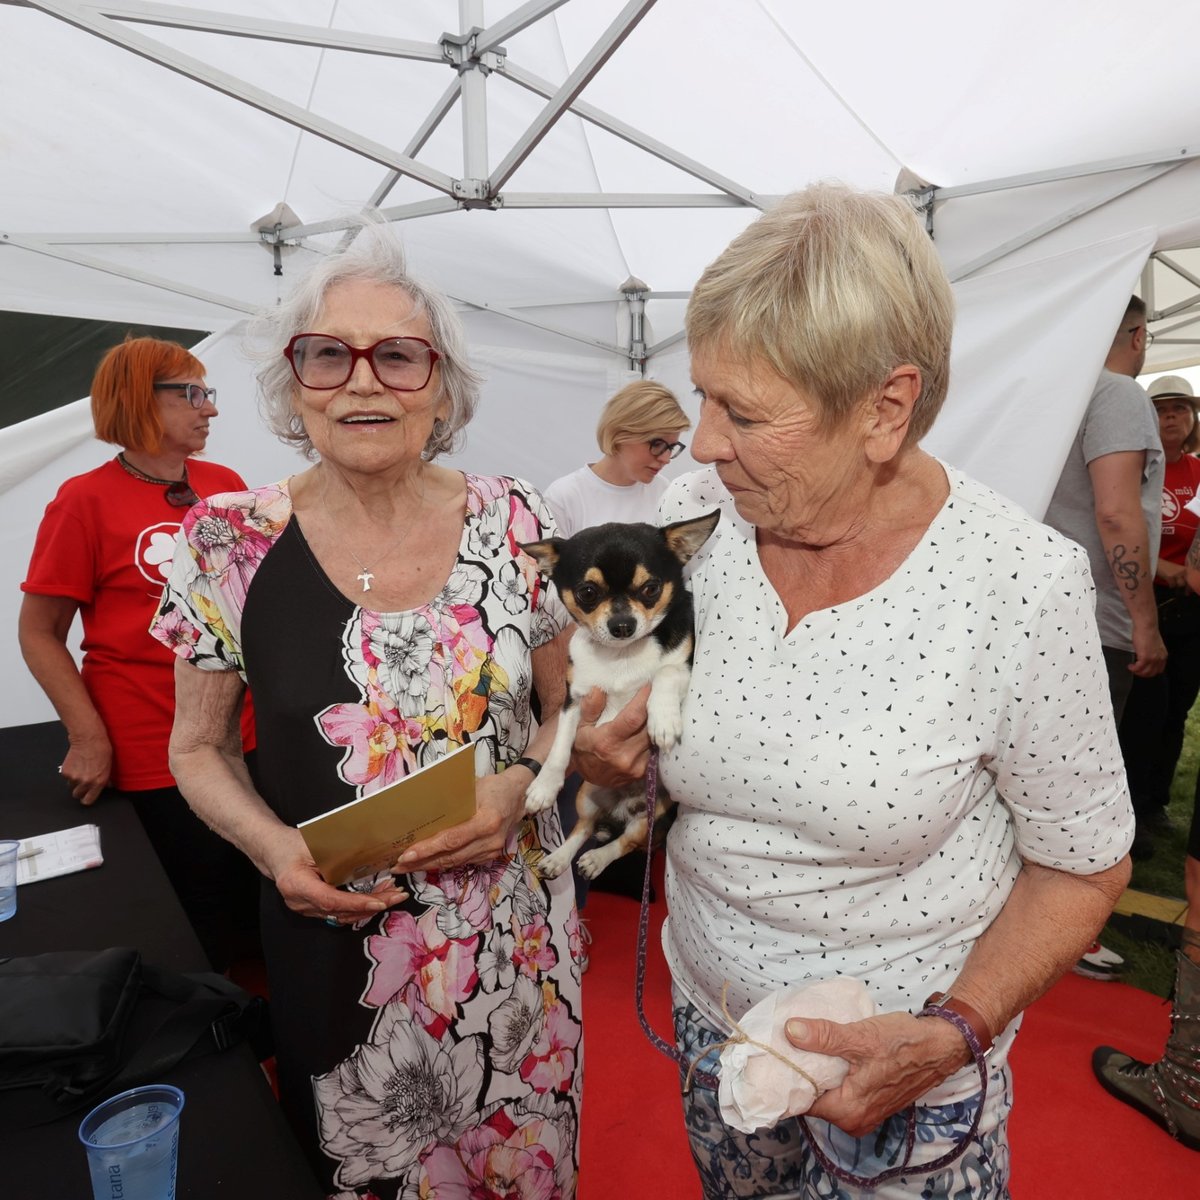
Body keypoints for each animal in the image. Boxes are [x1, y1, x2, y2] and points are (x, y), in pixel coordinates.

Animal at [518, 508, 720, 883]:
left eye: (651, 588)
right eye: (587, 592)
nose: (623, 624)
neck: (621, 655)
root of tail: (622, 807)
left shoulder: (685, 666)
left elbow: (666, 672)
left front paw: (663, 722)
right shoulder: (574, 700)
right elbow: (559, 747)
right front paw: (544, 786)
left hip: (652, 818)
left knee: (625, 841)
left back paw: (597, 859)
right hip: (586, 794)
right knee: (583, 827)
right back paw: (560, 858)